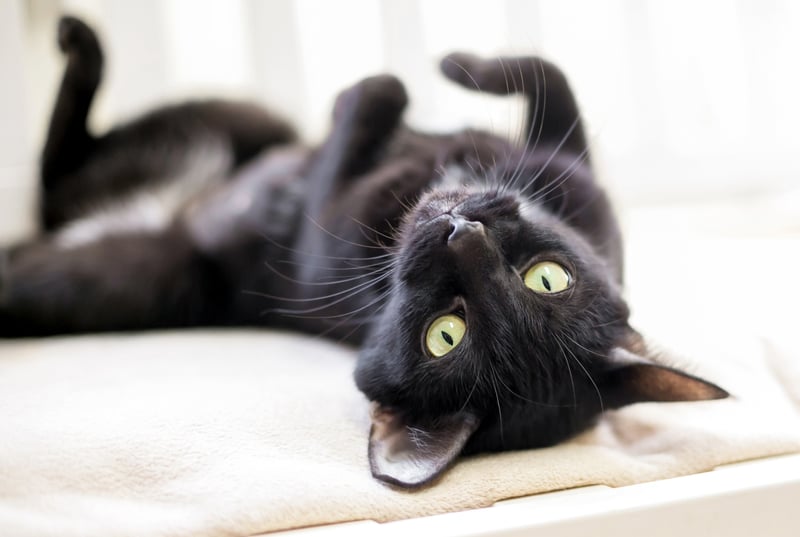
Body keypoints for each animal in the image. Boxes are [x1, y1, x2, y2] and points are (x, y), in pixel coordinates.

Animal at [0, 16, 728, 488]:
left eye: (446, 334)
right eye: (549, 278)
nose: (463, 230)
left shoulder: (320, 247)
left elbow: (382, 92)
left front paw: (386, 89)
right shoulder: (574, 171)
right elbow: (545, 70)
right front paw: (452, 63)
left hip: (118, 274)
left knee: (53, 186)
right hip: (240, 119)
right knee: (67, 169)